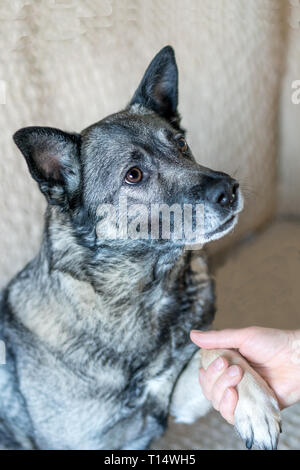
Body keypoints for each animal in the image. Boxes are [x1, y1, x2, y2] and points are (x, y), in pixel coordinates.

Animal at [0, 46, 282, 450]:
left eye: (180, 144)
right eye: (133, 175)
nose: (229, 190)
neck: (145, 292)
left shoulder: (173, 397)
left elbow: (219, 351)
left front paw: (256, 403)